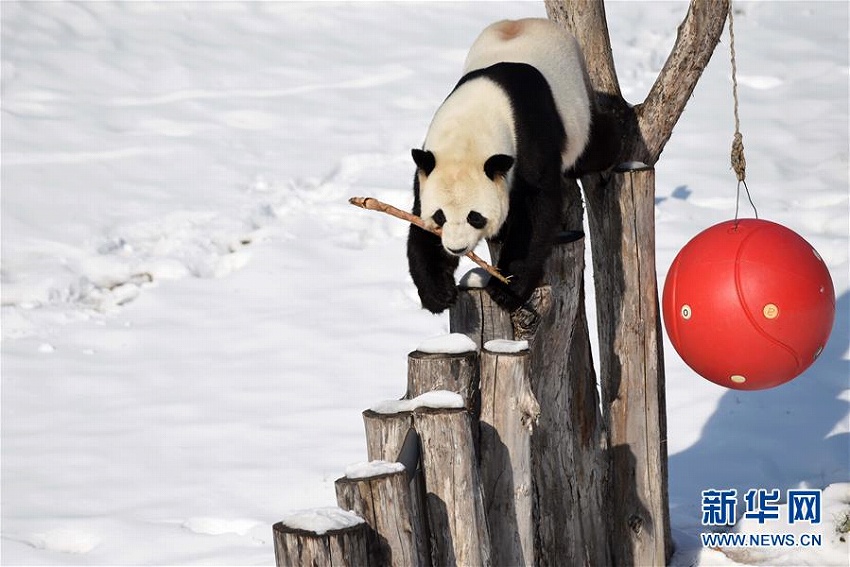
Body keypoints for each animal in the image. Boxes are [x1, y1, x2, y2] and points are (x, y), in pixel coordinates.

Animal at [408, 18, 612, 316]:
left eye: (475, 216)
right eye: (440, 216)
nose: (457, 248)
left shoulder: (529, 139)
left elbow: (537, 210)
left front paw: (506, 289)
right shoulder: (428, 165)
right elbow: (417, 220)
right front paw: (438, 292)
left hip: (579, 110)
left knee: (596, 145)